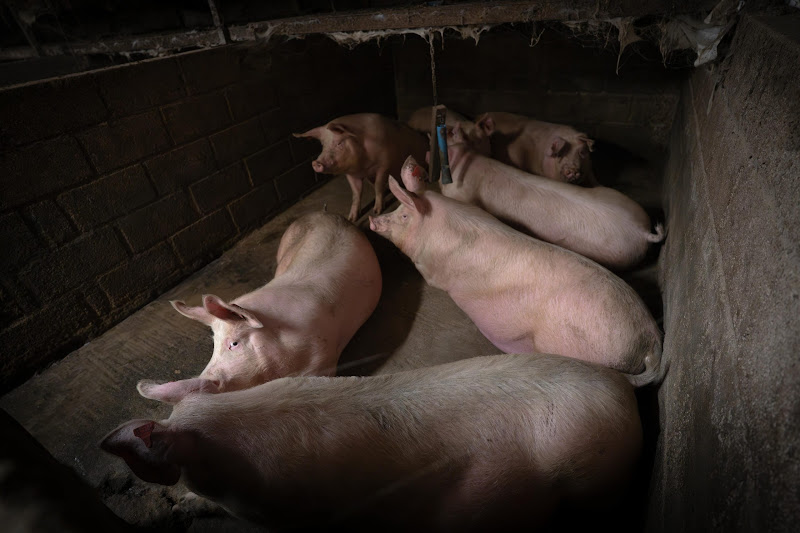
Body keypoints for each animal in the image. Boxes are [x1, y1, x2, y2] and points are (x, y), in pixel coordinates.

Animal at [293, 113, 428, 222]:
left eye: (339, 143)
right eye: (323, 145)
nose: (316, 163)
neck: (363, 167)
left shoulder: (384, 166)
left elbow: (378, 186)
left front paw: (377, 211)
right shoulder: (351, 174)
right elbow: (356, 193)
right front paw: (351, 219)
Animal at [370, 169, 664, 387]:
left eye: (403, 214)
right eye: (396, 209)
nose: (373, 220)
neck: (434, 227)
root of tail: (650, 337)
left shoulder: (431, 270)